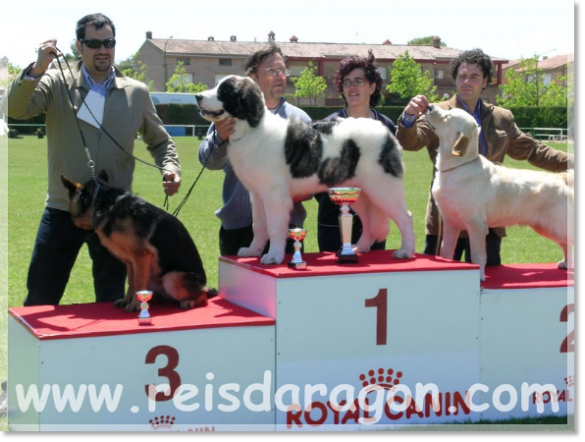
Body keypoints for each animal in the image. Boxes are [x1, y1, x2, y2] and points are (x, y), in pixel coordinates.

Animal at [61, 169, 217, 310]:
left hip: (173, 278)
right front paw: (127, 301)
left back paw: (190, 301)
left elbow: (139, 283)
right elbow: (132, 282)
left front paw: (136, 305)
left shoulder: (141, 257)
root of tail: (202, 284)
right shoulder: (131, 261)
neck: (104, 205)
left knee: (204, 295)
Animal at [196, 74, 416, 264]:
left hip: (383, 188)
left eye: (224, 91)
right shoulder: (257, 195)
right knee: (368, 220)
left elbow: (274, 227)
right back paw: (360, 248)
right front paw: (253, 251)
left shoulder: (274, 196)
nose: (197, 96)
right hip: (359, 192)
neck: (252, 128)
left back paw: (406, 251)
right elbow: (258, 225)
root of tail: (387, 132)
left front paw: (273, 257)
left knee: (405, 217)